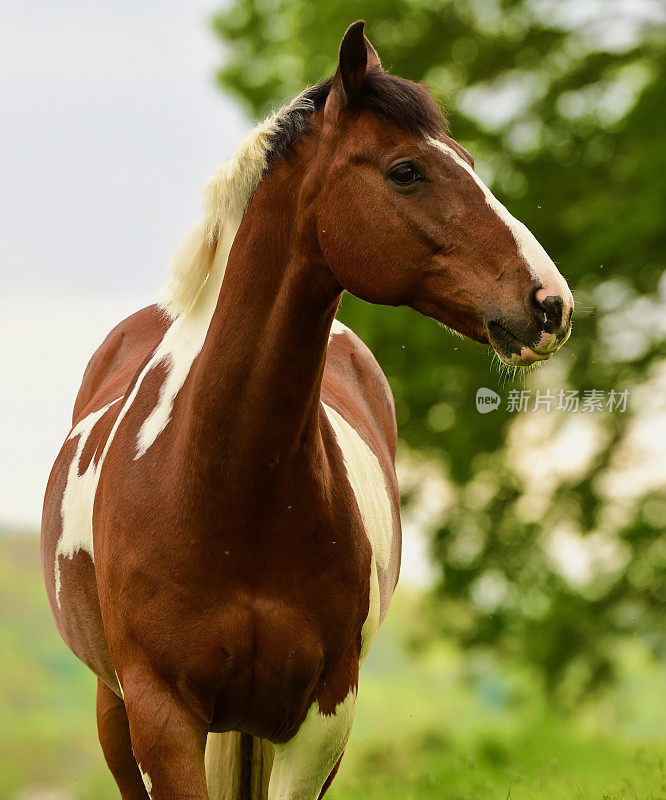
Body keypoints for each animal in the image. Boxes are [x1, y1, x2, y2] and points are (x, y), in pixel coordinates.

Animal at [40, 18, 572, 800]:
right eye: (406, 170)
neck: (224, 484)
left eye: (470, 161)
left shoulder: (322, 718)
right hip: (117, 714)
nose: (550, 303)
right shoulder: (161, 717)